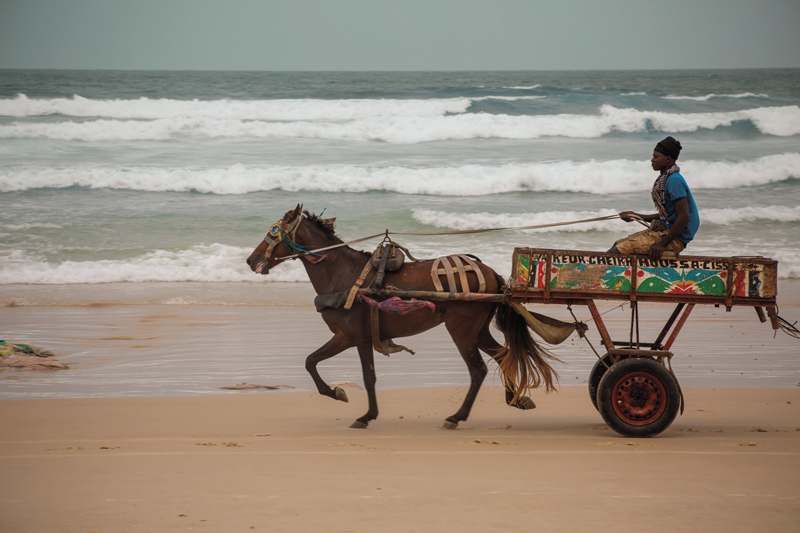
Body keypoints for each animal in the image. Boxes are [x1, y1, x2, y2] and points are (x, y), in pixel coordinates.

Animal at [244, 204, 556, 428]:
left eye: (274, 231)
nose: (250, 260)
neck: (342, 274)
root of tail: (490, 272)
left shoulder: (350, 336)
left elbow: (342, 370)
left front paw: (354, 406)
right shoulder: (355, 338)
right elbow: (326, 366)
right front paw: (351, 402)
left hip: (461, 330)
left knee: (478, 370)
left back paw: (457, 417)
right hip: (477, 330)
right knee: (503, 355)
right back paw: (514, 398)